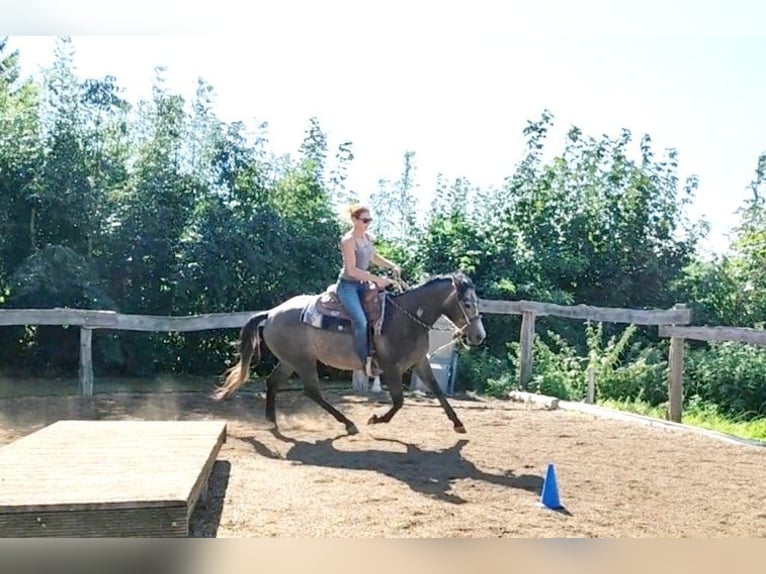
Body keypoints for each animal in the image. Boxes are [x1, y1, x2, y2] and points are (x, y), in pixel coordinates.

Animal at [210, 272, 486, 434]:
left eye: (478, 302)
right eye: (467, 303)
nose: (479, 336)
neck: (405, 318)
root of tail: (271, 313)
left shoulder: (419, 362)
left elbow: (438, 391)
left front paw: (458, 423)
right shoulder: (391, 368)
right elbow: (398, 401)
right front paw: (376, 419)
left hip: (289, 361)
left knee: (273, 382)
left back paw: (272, 421)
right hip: (303, 361)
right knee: (311, 391)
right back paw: (348, 423)